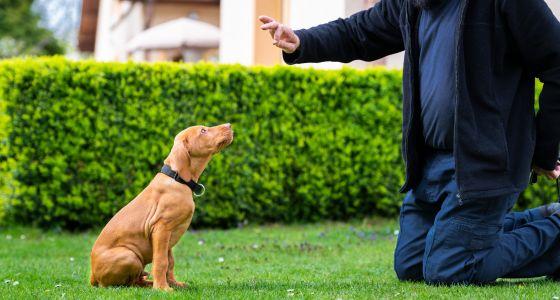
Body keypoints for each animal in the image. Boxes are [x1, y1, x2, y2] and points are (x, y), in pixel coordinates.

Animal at [90, 123, 234, 290]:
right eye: (203, 131)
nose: (229, 125)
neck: (177, 179)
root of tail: (92, 276)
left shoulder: (170, 234)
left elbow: (170, 262)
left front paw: (173, 284)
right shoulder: (161, 229)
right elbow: (161, 261)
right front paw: (162, 288)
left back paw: (148, 282)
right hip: (129, 256)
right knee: (121, 284)